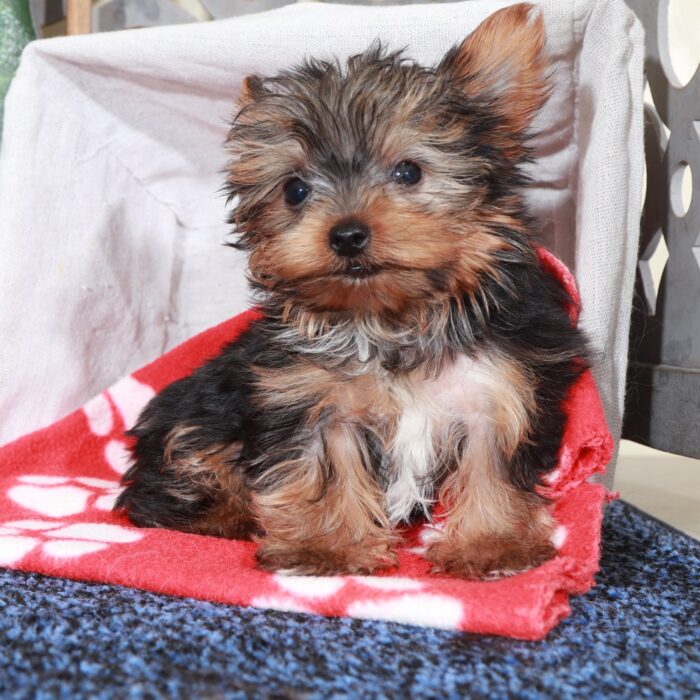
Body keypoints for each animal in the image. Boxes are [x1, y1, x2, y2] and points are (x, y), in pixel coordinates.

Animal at [116, 2, 584, 576]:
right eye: (295, 190)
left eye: (408, 172)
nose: (346, 234)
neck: (392, 320)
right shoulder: (310, 399)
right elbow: (324, 466)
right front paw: (327, 546)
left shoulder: (499, 388)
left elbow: (491, 461)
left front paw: (491, 542)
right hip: (199, 411)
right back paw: (227, 511)